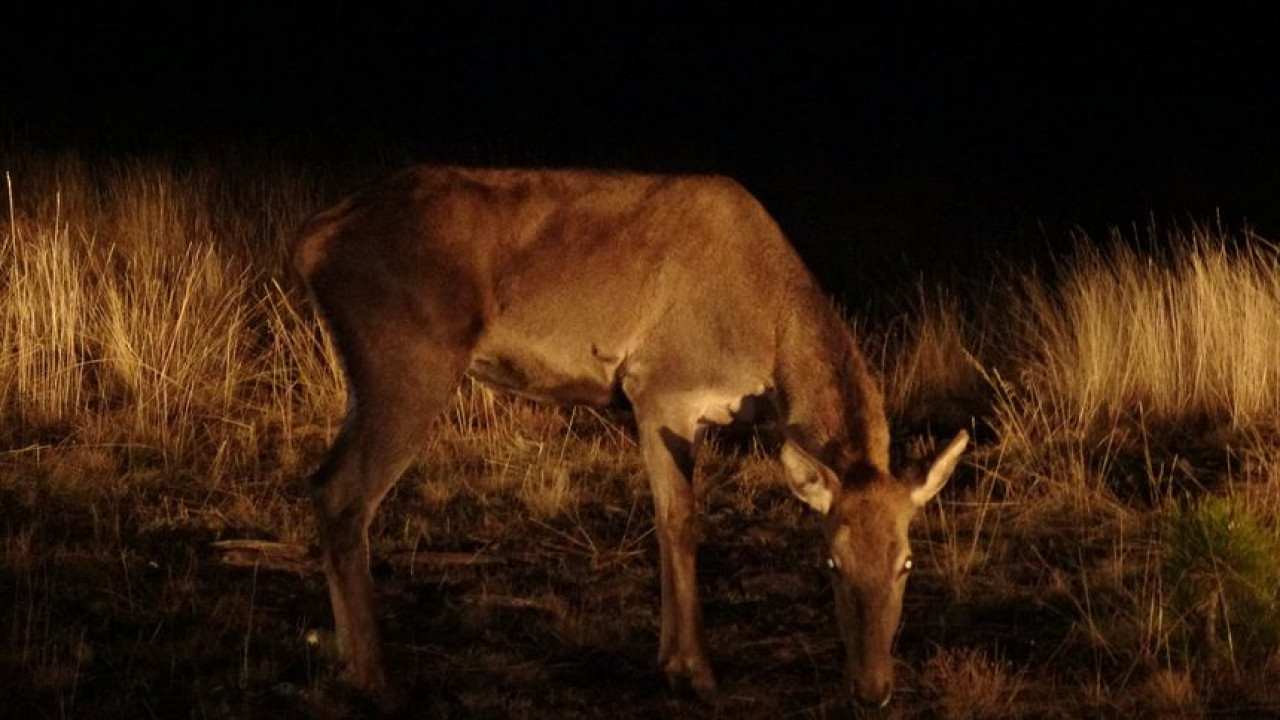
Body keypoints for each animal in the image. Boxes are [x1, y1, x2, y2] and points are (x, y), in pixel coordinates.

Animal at [293, 163, 967, 707]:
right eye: (830, 561)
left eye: (908, 562)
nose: (873, 691)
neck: (765, 342)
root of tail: (310, 242)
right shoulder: (662, 391)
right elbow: (681, 523)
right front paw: (694, 672)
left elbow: (670, 524)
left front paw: (673, 662)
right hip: (409, 365)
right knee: (342, 494)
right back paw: (377, 681)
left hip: (368, 377)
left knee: (323, 485)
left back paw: (351, 664)